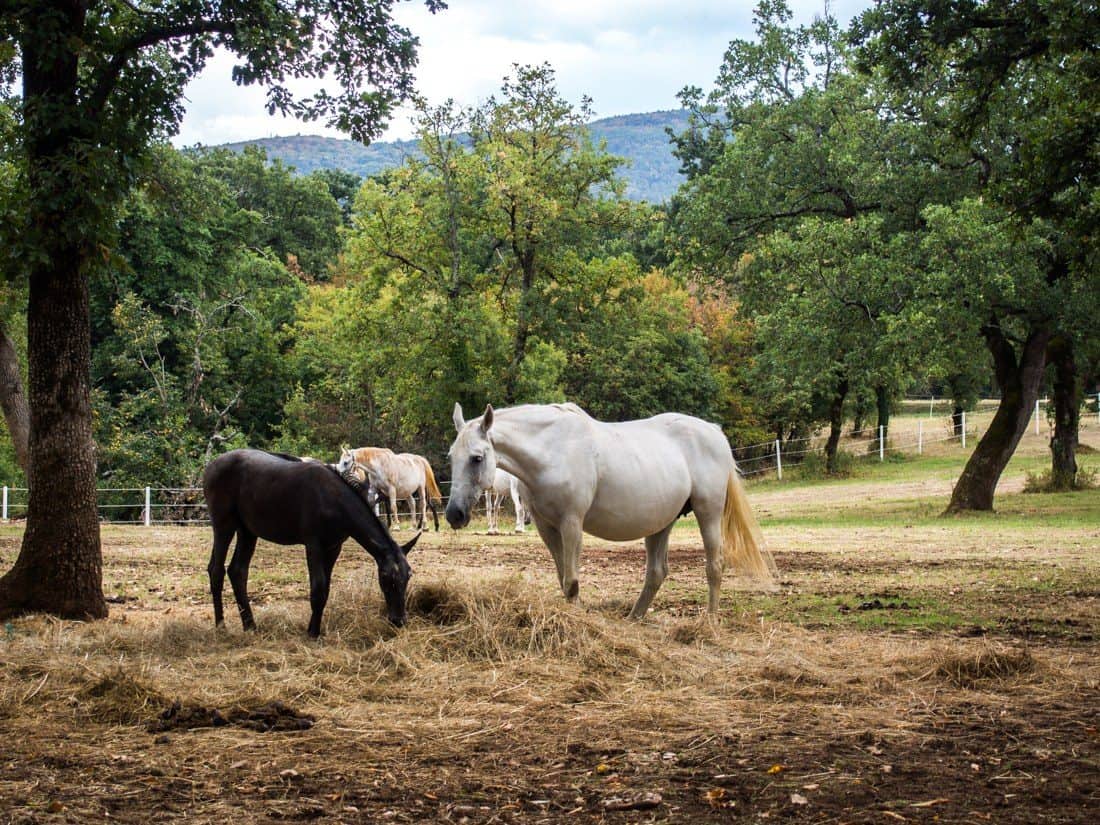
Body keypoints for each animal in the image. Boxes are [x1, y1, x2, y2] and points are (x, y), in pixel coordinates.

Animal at [201, 453, 415, 638]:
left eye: (408, 576)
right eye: (386, 577)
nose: (398, 620)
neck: (332, 498)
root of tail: (211, 466)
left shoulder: (333, 548)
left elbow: (325, 590)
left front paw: (315, 628)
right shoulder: (314, 546)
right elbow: (318, 589)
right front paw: (312, 633)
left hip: (247, 531)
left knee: (238, 571)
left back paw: (250, 625)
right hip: (224, 526)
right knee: (216, 570)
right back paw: (221, 625)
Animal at [444, 400, 774, 620]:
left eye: (476, 458)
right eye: (451, 456)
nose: (454, 514)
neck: (553, 450)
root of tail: (715, 432)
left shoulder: (571, 523)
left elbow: (572, 582)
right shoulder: (546, 527)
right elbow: (563, 579)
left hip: (709, 513)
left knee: (714, 565)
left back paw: (711, 621)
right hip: (661, 523)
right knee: (656, 572)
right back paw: (634, 619)